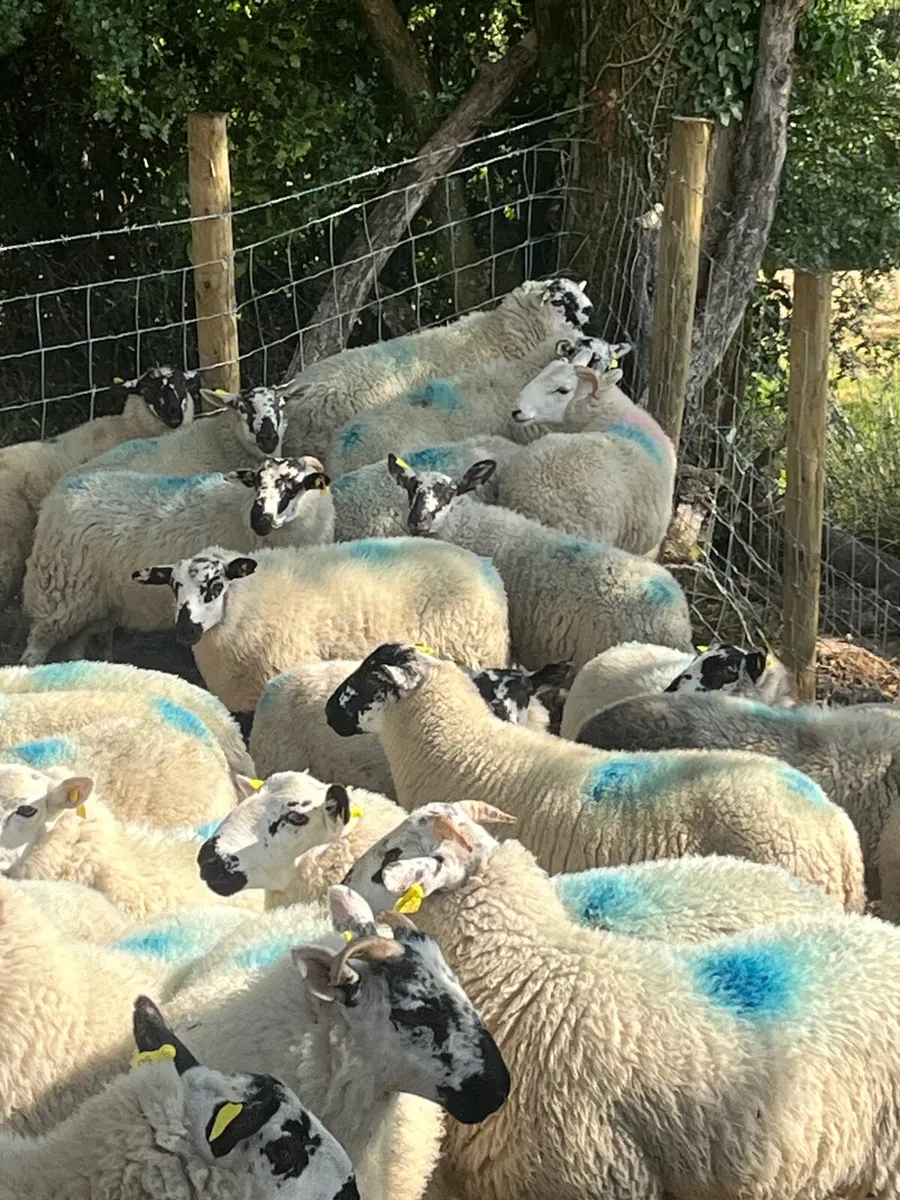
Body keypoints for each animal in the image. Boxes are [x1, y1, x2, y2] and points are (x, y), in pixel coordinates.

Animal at [20, 456, 332, 666]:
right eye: (255, 481)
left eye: (295, 486)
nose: (260, 519)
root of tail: (54, 498)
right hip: (58, 592)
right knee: (37, 644)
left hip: (94, 602)